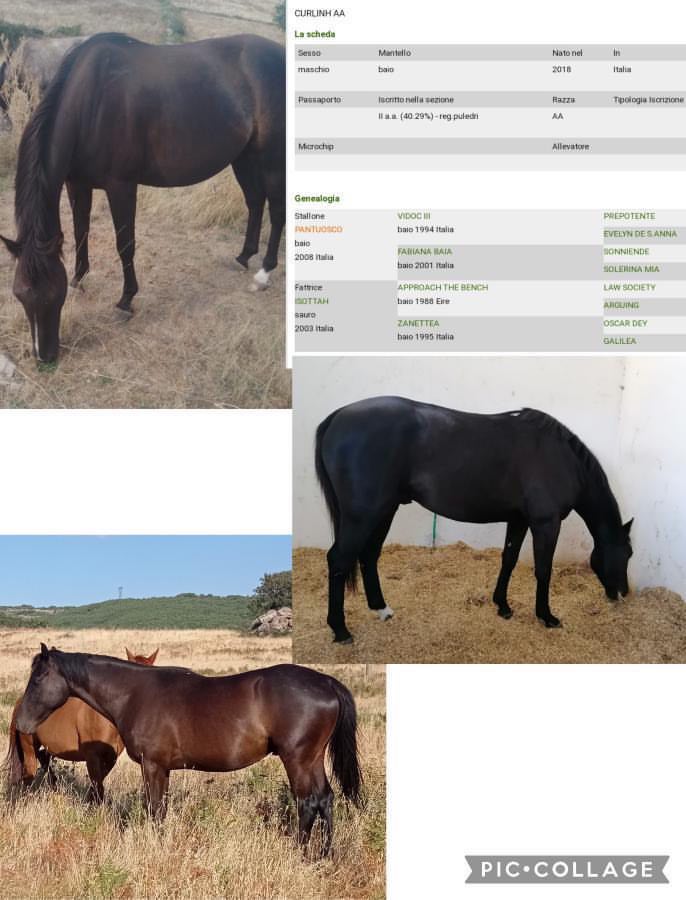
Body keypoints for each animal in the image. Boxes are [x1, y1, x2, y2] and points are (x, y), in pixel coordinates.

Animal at [0, 32, 285, 363]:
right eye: (20, 295)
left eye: (52, 295)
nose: (44, 357)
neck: (90, 102)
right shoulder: (77, 184)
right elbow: (81, 231)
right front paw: (79, 279)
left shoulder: (121, 186)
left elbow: (125, 244)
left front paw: (125, 301)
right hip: (244, 157)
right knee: (255, 202)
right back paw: (243, 257)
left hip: (271, 159)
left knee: (277, 211)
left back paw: (264, 273)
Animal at [4, 647, 158, 802]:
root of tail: (20, 703)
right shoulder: (92, 757)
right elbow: (98, 786)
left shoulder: (110, 759)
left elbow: (97, 785)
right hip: (29, 749)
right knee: (28, 775)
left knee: (44, 761)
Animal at [314, 396, 634, 643]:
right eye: (628, 553)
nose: (622, 594)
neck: (561, 458)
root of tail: (337, 417)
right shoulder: (546, 523)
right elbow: (544, 570)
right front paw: (546, 616)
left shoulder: (519, 520)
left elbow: (509, 560)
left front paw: (502, 606)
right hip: (362, 515)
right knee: (339, 560)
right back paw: (340, 630)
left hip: (384, 510)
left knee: (369, 555)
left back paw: (381, 609)